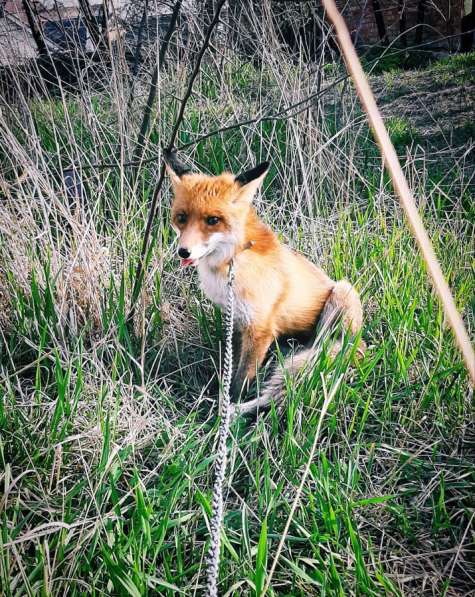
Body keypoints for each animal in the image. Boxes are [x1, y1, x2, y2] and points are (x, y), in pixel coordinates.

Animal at [165, 149, 366, 412]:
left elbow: (240, 381)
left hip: (342, 296)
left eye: (212, 220)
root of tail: (359, 345)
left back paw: (238, 411)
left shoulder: (260, 328)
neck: (231, 265)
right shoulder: (236, 322)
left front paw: (228, 407)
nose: (183, 252)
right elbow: (232, 366)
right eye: (181, 218)